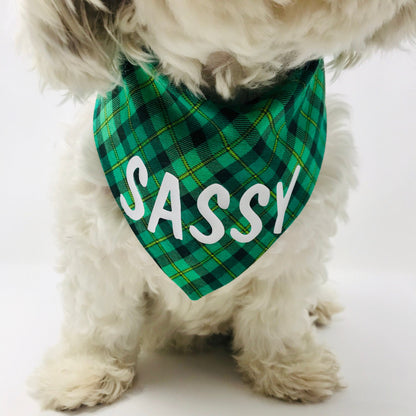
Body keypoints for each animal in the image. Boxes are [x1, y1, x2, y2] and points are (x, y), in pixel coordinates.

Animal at [20, 0, 416, 410]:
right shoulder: (95, 239)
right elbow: (100, 315)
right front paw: (84, 370)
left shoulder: (299, 242)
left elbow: (276, 312)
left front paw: (288, 364)